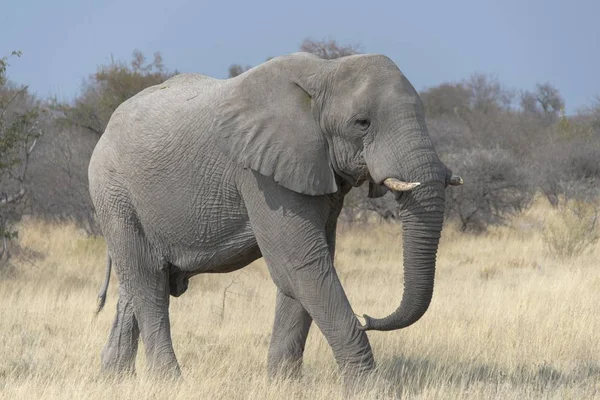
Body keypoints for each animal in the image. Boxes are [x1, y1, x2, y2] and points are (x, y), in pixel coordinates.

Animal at [89, 51, 464, 380]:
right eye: (362, 123)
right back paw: (169, 382)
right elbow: (300, 264)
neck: (325, 72)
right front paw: (369, 389)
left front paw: (284, 384)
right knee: (148, 282)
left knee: (137, 285)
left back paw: (114, 379)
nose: (368, 317)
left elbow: (305, 269)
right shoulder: (260, 174)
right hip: (114, 195)